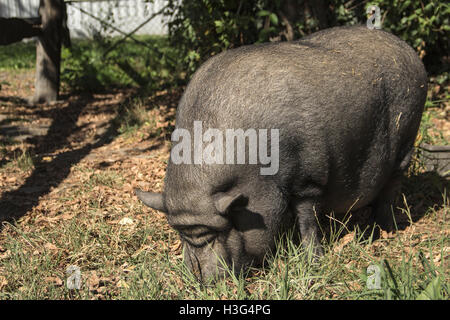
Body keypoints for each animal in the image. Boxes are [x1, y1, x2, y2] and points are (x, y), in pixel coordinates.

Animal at [135, 25, 428, 280]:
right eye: (181, 234)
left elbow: (307, 219)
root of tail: (409, 51)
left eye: (220, 231)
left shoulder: (308, 178)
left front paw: (313, 260)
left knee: (392, 185)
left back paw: (382, 228)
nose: (201, 278)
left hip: (407, 135)